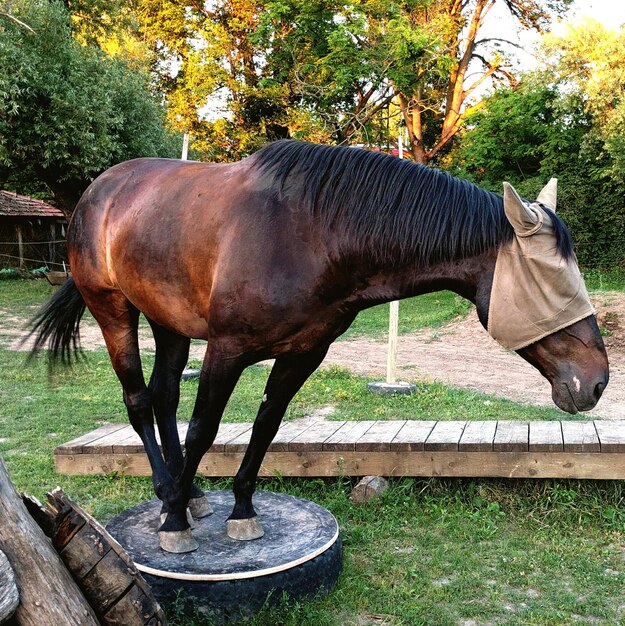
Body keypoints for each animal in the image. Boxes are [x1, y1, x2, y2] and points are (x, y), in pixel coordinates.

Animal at [28, 141, 604, 552]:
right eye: (552, 283)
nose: (597, 381)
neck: (311, 234)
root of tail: (98, 190)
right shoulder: (227, 349)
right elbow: (204, 430)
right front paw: (173, 528)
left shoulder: (304, 353)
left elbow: (265, 426)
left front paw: (241, 510)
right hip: (114, 312)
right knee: (140, 400)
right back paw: (170, 496)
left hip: (169, 322)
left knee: (166, 396)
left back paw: (187, 494)